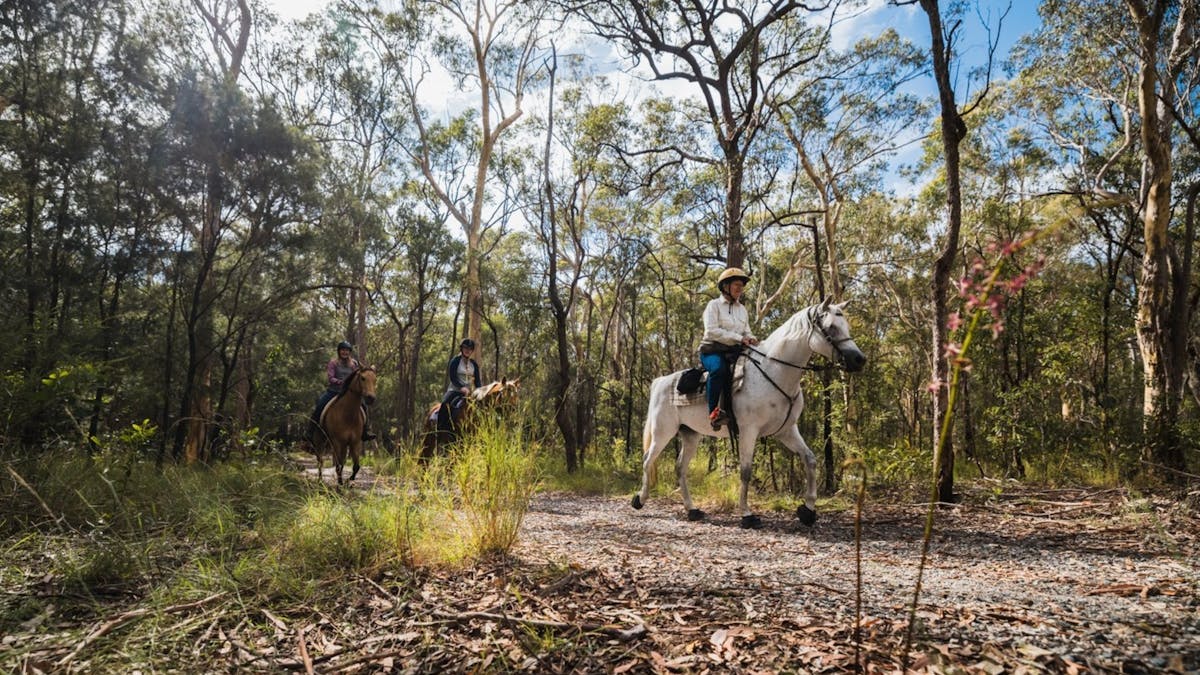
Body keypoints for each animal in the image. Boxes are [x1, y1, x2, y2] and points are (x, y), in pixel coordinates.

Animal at [631, 299, 866, 528]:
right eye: (831, 327)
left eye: (846, 325)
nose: (859, 359)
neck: (774, 372)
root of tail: (660, 381)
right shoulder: (748, 430)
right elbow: (745, 471)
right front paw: (747, 514)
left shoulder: (787, 431)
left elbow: (810, 460)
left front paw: (807, 511)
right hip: (663, 432)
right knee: (648, 460)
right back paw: (639, 500)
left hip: (690, 434)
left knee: (680, 468)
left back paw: (692, 510)